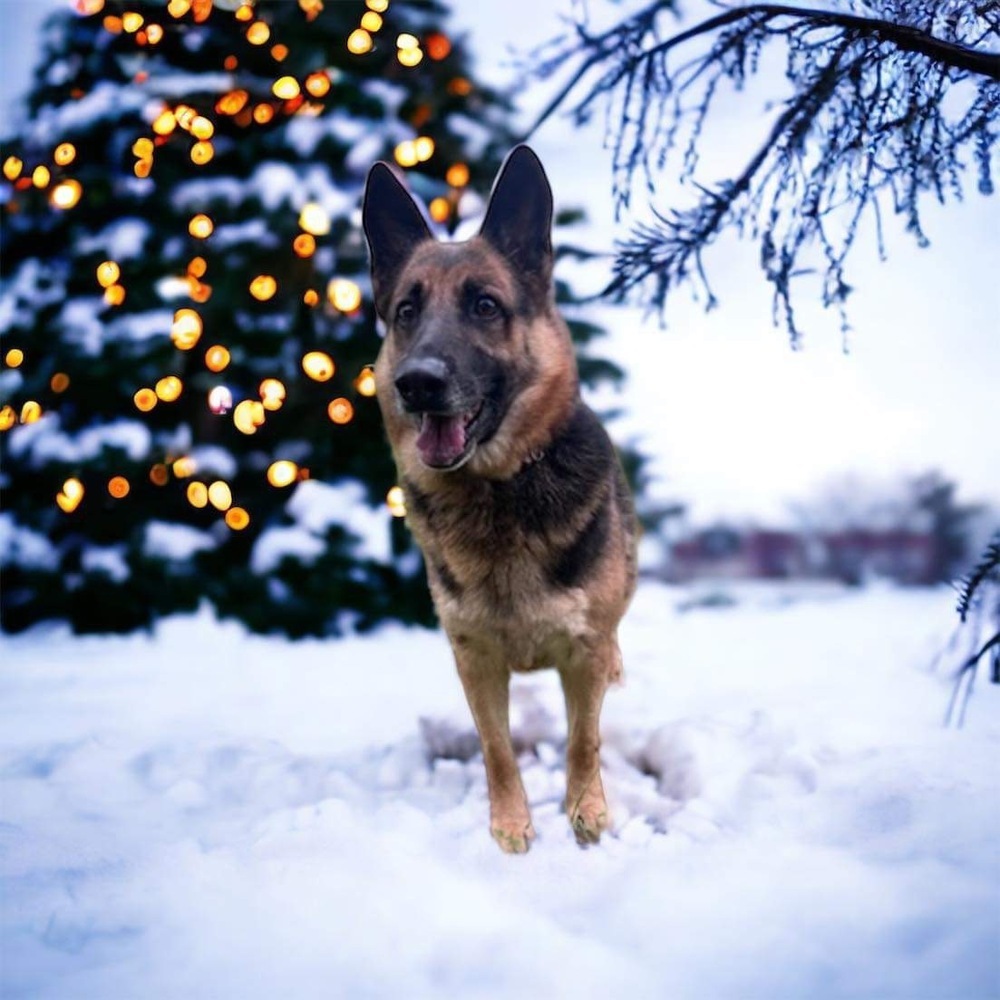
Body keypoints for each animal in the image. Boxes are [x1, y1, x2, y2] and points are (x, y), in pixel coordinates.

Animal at [364, 146, 636, 852]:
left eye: (485, 306)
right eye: (406, 312)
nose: (416, 384)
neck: (497, 488)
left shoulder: (583, 651)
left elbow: (583, 741)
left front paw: (586, 813)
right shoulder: (475, 658)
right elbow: (496, 749)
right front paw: (512, 826)